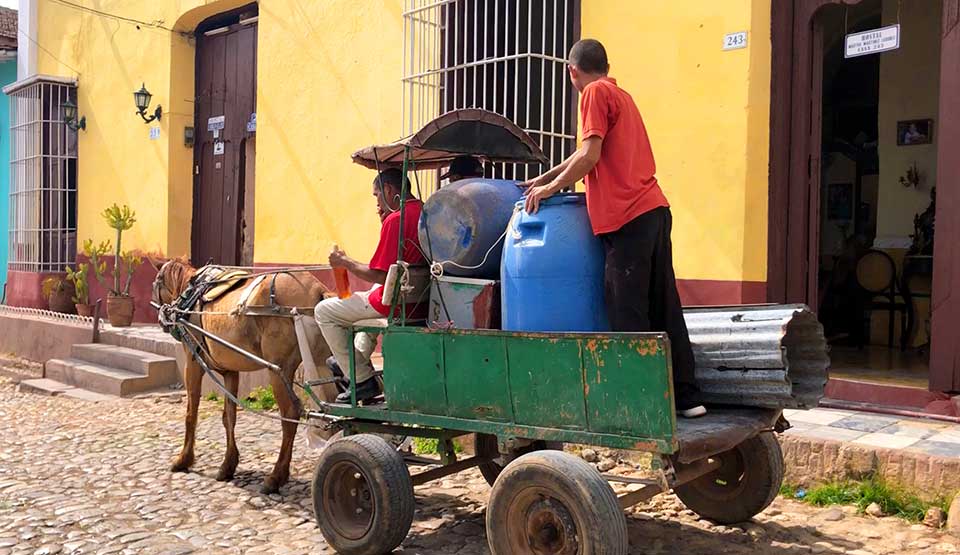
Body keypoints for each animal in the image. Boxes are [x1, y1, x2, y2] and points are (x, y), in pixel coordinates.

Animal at [151, 260, 342, 496]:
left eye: (156, 282)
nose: (161, 318)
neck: (191, 293)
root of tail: (317, 290)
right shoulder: (230, 372)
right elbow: (229, 417)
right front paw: (228, 465)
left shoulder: (193, 361)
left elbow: (191, 413)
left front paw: (183, 459)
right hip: (321, 360)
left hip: (278, 370)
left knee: (290, 415)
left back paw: (276, 477)